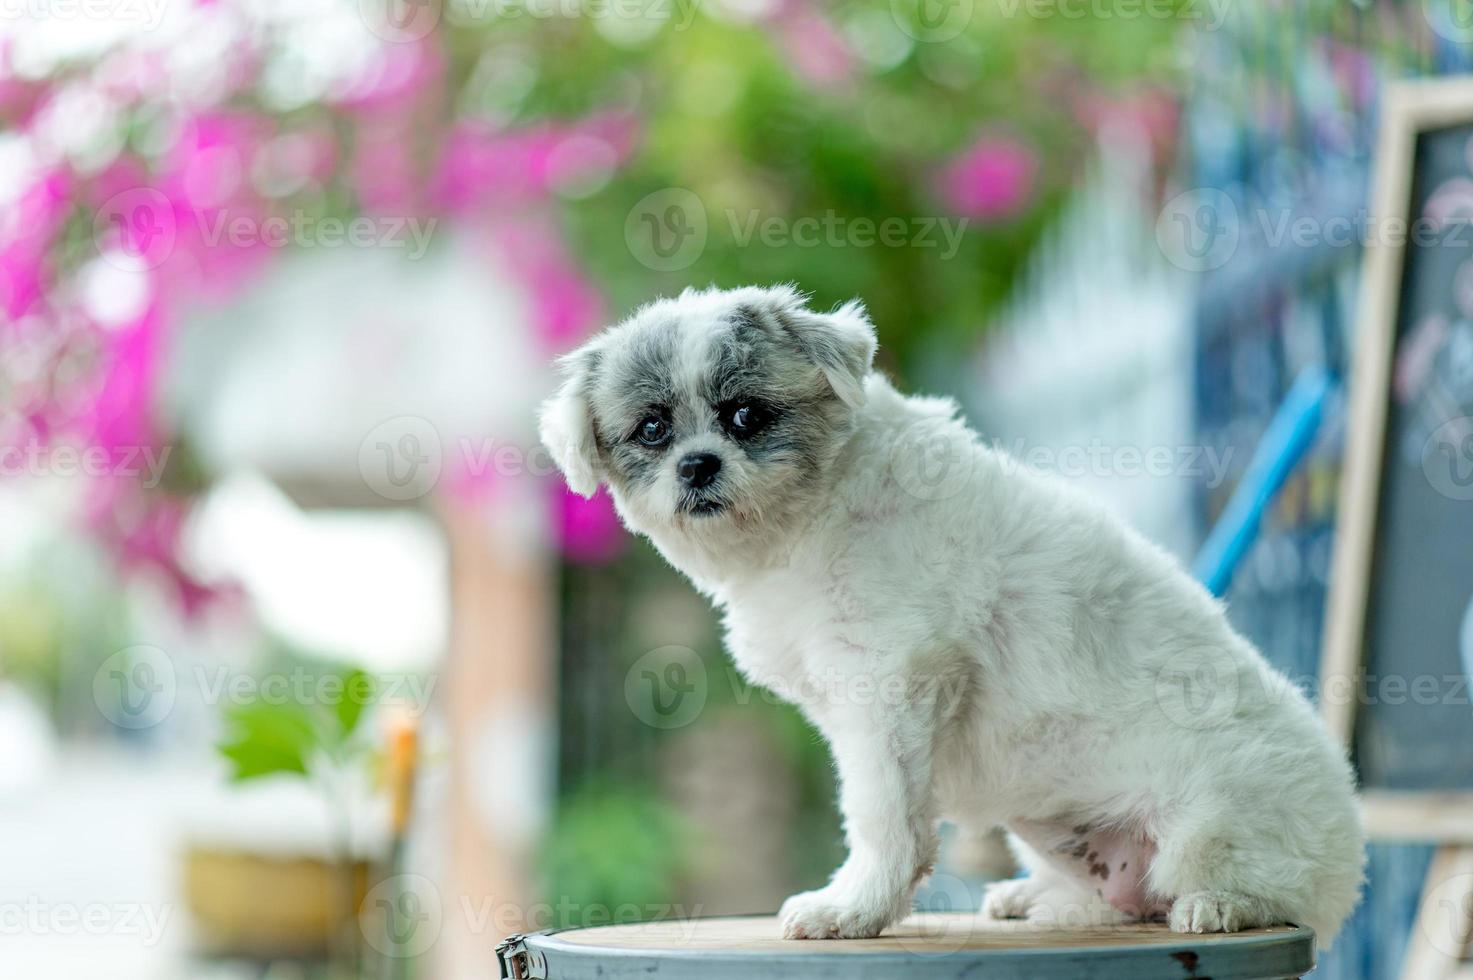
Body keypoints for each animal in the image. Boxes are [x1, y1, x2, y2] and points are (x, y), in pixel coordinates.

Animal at [542, 281, 1366, 943]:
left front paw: (855, 908)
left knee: (1252, 896)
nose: (697, 465)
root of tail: (1347, 854)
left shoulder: (889, 689)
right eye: (652, 429)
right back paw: (1037, 899)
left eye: (745, 415)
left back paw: (1224, 905)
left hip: (1214, 828)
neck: (815, 513)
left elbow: (882, 819)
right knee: (1122, 902)